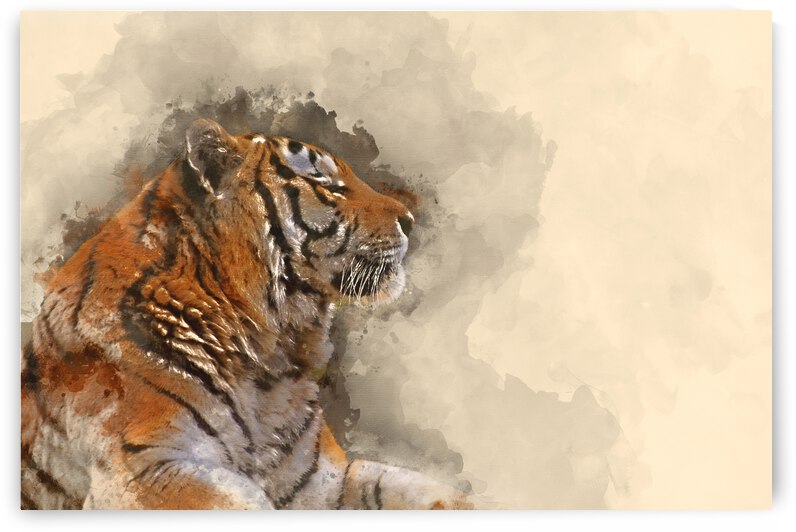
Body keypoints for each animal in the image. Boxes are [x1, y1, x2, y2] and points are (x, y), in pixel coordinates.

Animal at [21, 118, 471, 510]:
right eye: (322, 180)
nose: (410, 221)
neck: (269, 359)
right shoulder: (145, 469)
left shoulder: (322, 479)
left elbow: (424, 492)